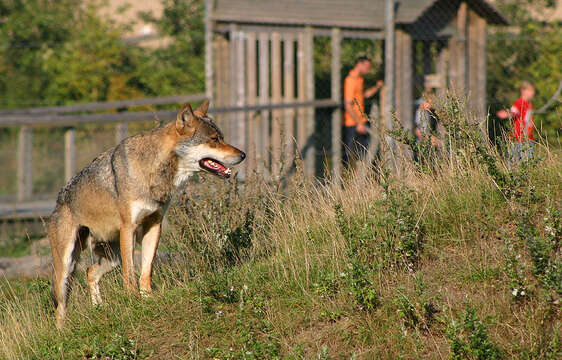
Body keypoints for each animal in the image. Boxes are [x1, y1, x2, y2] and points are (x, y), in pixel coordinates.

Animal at [46, 100, 243, 326]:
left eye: (222, 137)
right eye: (214, 139)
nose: (243, 155)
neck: (154, 170)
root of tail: (59, 199)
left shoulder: (154, 225)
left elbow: (146, 271)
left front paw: (148, 299)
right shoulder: (128, 228)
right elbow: (130, 276)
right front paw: (133, 302)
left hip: (112, 257)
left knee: (90, 272)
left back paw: (98, 308)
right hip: (67, 267)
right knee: (61, 306)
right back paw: (62, 330)